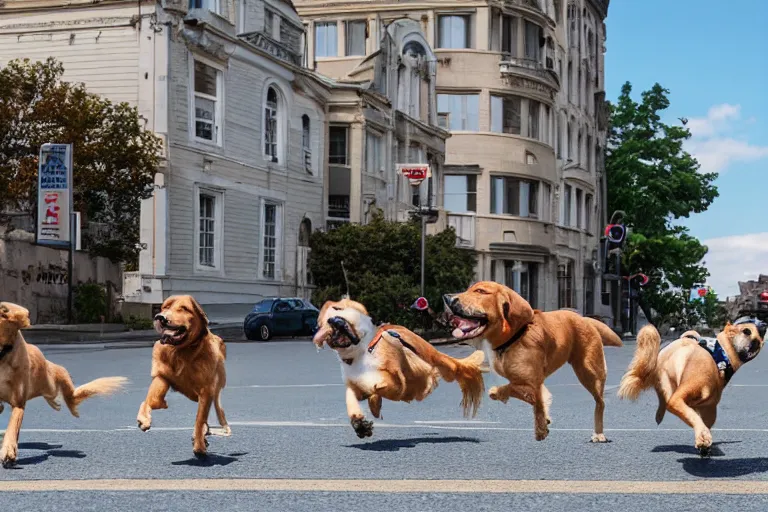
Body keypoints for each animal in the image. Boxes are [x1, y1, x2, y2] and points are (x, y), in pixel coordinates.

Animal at [136, 294, 230, 458]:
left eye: (184, 308)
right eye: (165, 307)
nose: (160, 317)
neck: (182, 351)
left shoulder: (206, 391)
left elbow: (199, 419)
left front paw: (199, 446)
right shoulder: (162, 376)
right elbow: (152, 399)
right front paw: (145, 419)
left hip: (217, 390)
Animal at [314, 298, 486, 438]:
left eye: (338, 308)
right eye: (321, 323)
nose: (332, 321)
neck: (361, 351)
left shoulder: (396, 381)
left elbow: (379, 386)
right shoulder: (354, 385)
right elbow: (352, 400)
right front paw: (360, 425)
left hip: (435, 358)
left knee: (454, 367)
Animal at [444, 282, 624, 442]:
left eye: (480, 291)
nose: (446, 297)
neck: (514, 338)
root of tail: (585, 319)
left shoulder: (531, 383)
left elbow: (512, 390)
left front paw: (541, 428)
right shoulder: (532, 383)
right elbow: (532, 398)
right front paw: (545, 420)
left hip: (589, 372)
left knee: (600, 402)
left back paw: (599, 434)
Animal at [620, 320, 764, 456]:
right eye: (747, 331)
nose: (763, 324)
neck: (722, 350)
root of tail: (679, 351)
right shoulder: (709, 407)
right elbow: (704, 421)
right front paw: (704, 443)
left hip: (667, 386)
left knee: (668, 404)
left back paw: (661, 415)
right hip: (695, 389)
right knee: (678, 405)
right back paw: (703, 439)